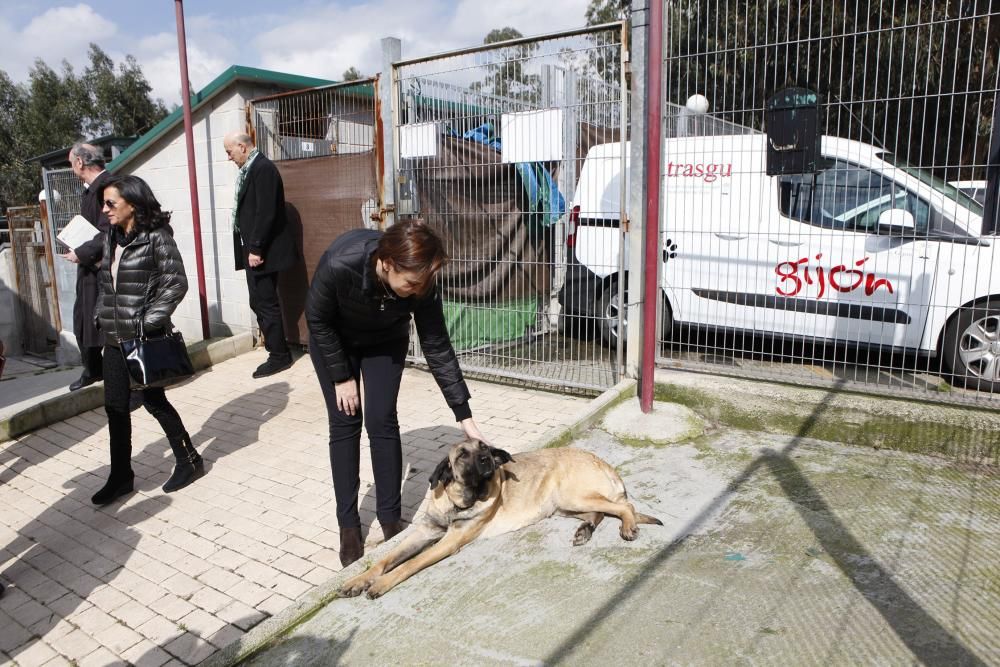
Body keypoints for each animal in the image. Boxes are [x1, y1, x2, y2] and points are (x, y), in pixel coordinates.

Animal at [344, 438, 664, 600]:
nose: (487, 459)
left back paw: (628, 526)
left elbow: (408, 564)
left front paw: (380, 585)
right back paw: (584, 531)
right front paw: (358, 580)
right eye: (462, 455)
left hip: (573, 495)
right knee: (601, 511)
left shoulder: (448, 541)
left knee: (625, 506)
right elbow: (386, 559)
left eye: (484, 448)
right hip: (563, 504)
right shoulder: (424, 532)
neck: (458, 501)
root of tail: (605, 464)